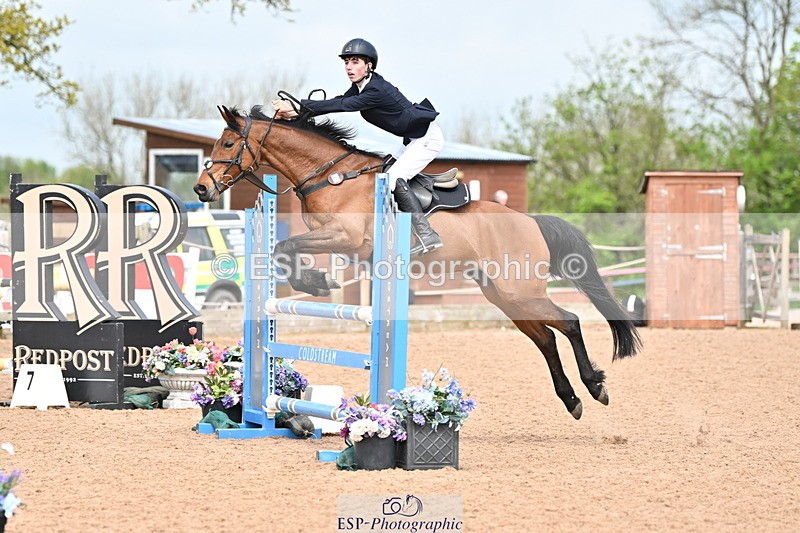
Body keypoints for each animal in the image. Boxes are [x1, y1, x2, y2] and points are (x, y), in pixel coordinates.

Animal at [194, 104, 641, 420]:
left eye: (228, 145)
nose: (201, 189)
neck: (329, 176)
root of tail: (530, 221)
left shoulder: (346, 237)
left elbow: (285, 247)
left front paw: (318, 283)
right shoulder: (338, 242)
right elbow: (283, 252)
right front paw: (316, 281)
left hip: (520, 291)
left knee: (570, 321)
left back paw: (595, 387)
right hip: (504, 296)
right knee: (546, 338)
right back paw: (572, 400)